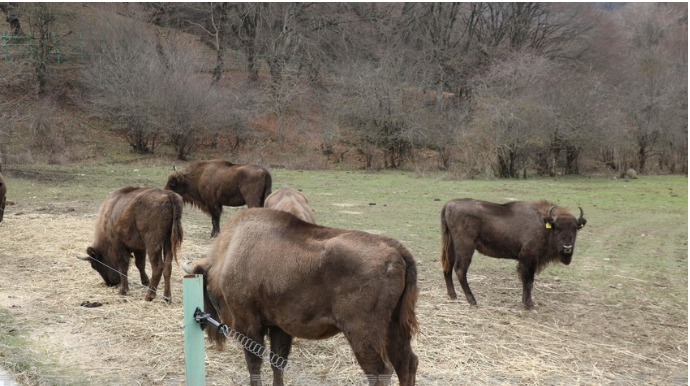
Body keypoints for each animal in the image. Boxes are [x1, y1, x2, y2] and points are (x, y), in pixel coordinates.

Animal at [183, 208, 416, 386]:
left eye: (203, 285)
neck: (229, 253)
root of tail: (397, 250)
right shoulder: (278, 327)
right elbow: (277, 361)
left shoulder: (248, 325)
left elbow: (254, 363)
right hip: (394, 327)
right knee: (407, 363)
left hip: (362, 333)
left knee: (380, 370)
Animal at [440, 199, 584, 310]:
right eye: (557, 228)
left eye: (575, 228)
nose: (567, 248)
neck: (544, 223)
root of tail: (449, 204)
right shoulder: (529, 259)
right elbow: (528, 281)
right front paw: (529, 305)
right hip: (466, 247)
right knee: (460, 269)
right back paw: (472, 300)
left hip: (451, 245)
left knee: (447, 266)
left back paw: (453, 296)